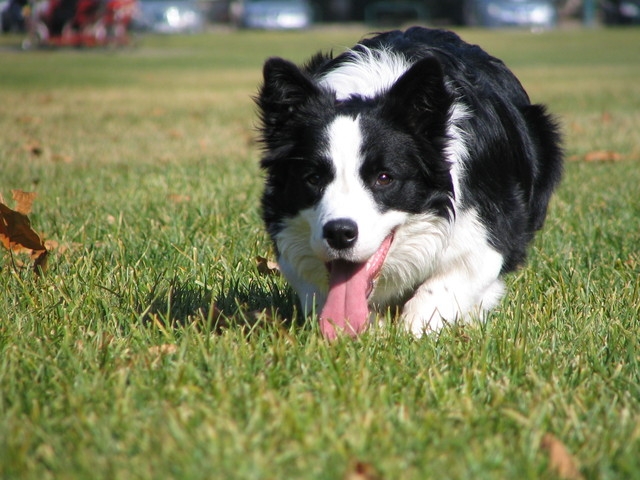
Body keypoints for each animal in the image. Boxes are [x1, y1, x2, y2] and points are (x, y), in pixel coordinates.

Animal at [256, 27, 563, 339]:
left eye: (384, 178)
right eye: (313, 178)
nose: (339, 233)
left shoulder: (493, 228)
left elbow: (446, 284)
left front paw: (415, 331)